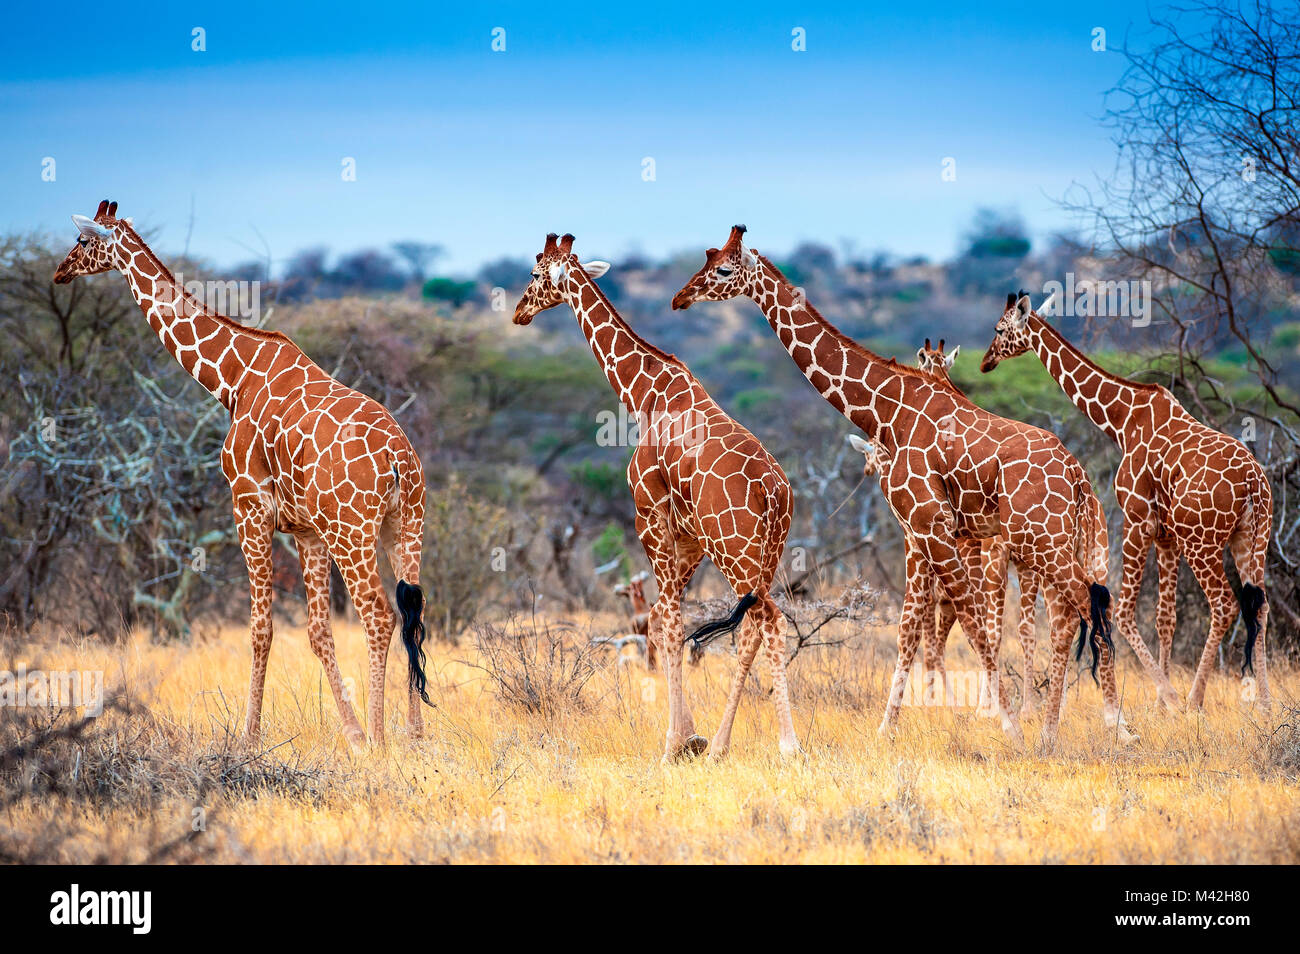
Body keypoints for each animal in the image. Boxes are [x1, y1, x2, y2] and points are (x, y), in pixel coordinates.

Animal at [54, 201, 431, 748]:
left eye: (82, 241)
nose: (59, 272)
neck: (232, 380)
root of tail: (399, 458)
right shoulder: (306, 530)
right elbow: (317, 631)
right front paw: (352, 732)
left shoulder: (249, 508)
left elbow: (261, 628)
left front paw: (251, 736)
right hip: (405, 523)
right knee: (412, 610)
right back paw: (413, 733)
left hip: (352, 530)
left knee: (378, 614)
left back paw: (383, 738)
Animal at [512, 233, 795, 764]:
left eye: (537, 274)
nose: (519, 311)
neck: (642, 394)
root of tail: (774, 491)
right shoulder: (689, 539)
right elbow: (672, 622)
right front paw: (691, 738)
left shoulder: (649, 514)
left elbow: (663, 622)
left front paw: (674, 743)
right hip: (767, 553)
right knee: (758, 623)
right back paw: (728, 745)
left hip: (736, 549)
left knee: (768, 620)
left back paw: (780, 745)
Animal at [670, 227, 1118, 748]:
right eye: (707, 257)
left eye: (723, 269)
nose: (681, 298)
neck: (887, 413)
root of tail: (1078, 476)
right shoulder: (922, 534)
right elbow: (913, 630)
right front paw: (890, 728)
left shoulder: (928, 525)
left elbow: (969, 626)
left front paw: (1008, 728)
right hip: (1054, 541)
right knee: (1081, 610)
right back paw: (1083, 728)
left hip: (1041, 539)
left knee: (1083, 609)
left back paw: (1096, 729)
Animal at [982, 295, 1268, 712]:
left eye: (1000, 329)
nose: (986, 361)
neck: (1121, 420)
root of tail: (1254, 483)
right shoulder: (1166, 535)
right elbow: (1166, 617)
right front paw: (1161, 701)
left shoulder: (1136, 519)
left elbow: (1125, 611)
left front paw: (1169, 697)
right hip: (1251, 538)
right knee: (1258, 605)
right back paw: (1263, 702)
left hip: (1203, 541)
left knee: (1225, 605)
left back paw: (1195, 699)